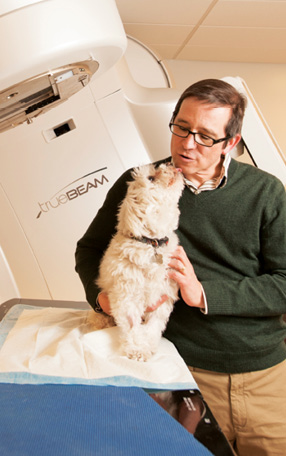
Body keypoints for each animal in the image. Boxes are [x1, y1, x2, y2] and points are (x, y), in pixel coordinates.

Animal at [96, 162, 184, 362]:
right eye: (151, 178)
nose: (170, 163)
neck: (152, 243)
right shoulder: (126, 297)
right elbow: (131, 327)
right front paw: (137, 349)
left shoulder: (163, 296)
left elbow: (154, 326)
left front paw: (148, 345)